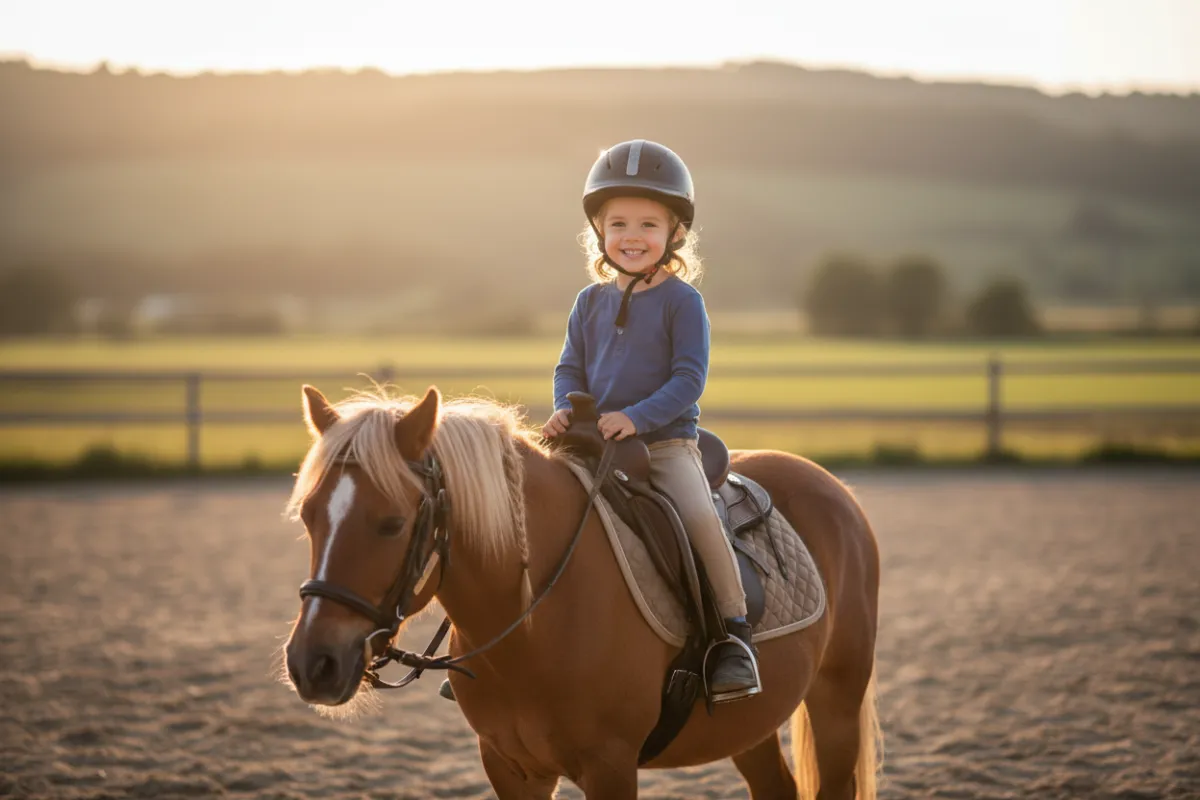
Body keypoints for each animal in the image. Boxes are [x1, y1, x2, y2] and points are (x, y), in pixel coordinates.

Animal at [283, 384, 882, 799]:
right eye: (309, 517)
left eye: (390, 524)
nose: (312, 664)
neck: (533, 626)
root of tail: (835, 489)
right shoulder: (510, 768)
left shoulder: (610, 766)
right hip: (751, 723)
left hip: (837, 699)